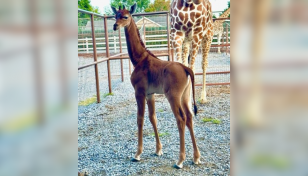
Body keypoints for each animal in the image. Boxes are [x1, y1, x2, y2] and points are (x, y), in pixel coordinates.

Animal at [112, 3, 201, 168]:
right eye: (116, 16)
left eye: (125, 16)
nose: (115, 26)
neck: (139, 60)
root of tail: (186, 69)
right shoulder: (150, 94)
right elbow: (152, 117)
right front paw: (158, 150)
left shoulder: (139, 92)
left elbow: (140, 119)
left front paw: (138, 154)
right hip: (185, 96)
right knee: (189, 117)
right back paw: (196, 157)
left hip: (173, 96)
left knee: (181, 119)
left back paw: (180, 161)